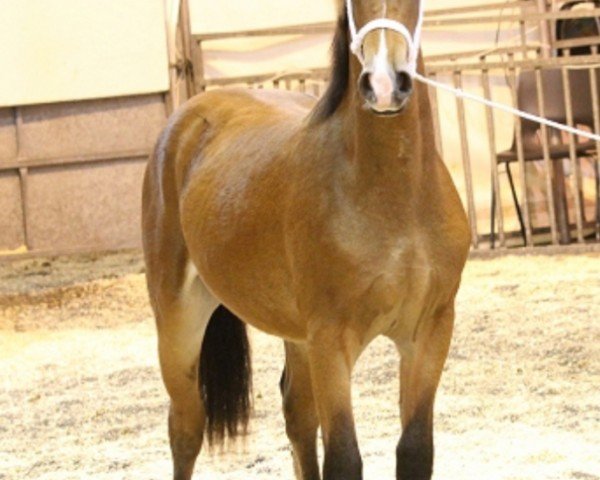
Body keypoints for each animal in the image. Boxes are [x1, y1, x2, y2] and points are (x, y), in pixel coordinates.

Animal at [143, 1, 472, 478]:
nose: (384, 85)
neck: (394, 199)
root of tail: (186, 119)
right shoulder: (330, 341)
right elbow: (344, 457)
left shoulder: (430, 329)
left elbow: (414, 449)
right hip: (179, 321)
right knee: (186, 428)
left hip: (295, 338)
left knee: (297, 417)